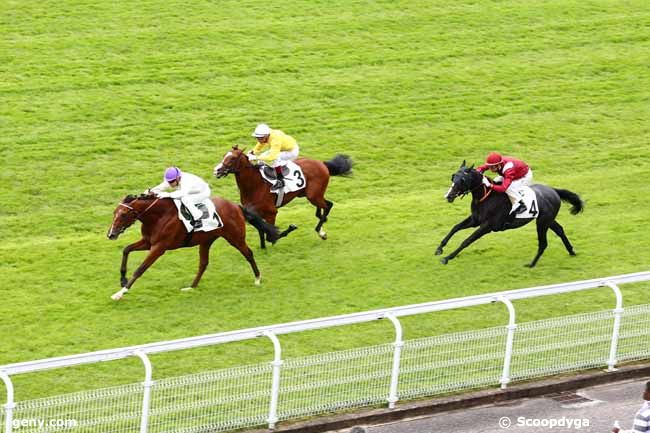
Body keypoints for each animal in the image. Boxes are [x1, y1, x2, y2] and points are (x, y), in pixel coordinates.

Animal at [107, 193, 278, 300]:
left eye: (123, 214)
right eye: (114, 212)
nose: (111, 234)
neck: (158, 216)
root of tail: (235, 206)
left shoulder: (159, 247)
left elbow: (140, 268)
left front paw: (120, 293)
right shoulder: (148, 243)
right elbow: (126, 249)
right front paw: (122, 279)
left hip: (235, 237)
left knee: (248, 254)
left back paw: (257, 278)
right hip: (206, 241)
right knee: (203, 263)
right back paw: (191, 287)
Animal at [213, 145, 352, 246]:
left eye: (232, 158)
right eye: (224, 156)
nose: (216, 171)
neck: (255, 185)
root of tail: (322, 163)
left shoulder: (272, 213)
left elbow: (270, 236)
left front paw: (290, 228)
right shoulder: (255, 212)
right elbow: (261, 230)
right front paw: (263, 248)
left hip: (313, 196)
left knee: (329, 205)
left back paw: (320, 232)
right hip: (310, 194)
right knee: (322, 208)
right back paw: (322, 225)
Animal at [436, 160, 584, 264]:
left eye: (462, 180)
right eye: (453, 177)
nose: (448, 196)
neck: (486, 197)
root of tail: (553, 190)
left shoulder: (487, 226)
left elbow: (467, 240)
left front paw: (448, 257)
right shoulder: (475, 219)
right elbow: (455, 227)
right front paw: (439, 248)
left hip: (543, 222)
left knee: (546, 240)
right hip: (548, 220)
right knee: (560, 230)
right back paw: (571, 251)